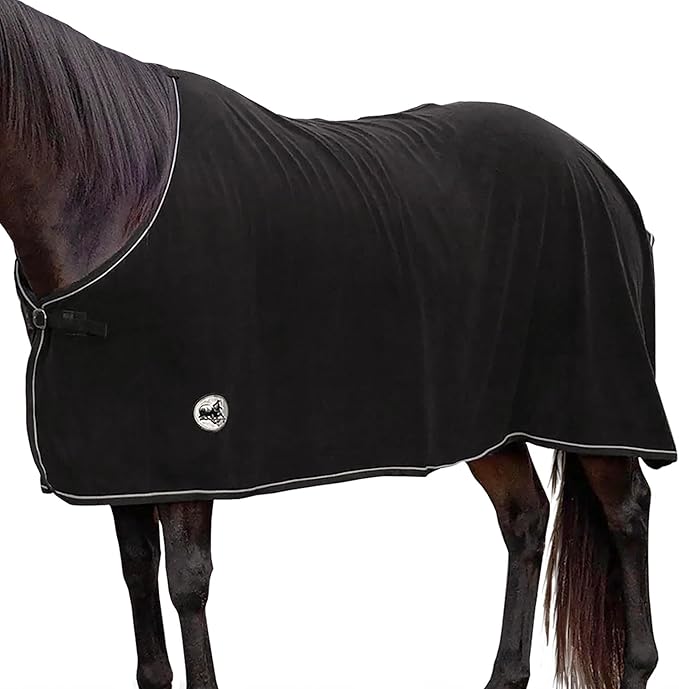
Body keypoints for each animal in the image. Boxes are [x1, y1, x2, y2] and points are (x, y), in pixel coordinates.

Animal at [1, 3, 675, 689]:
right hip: (490, 423)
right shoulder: (121, 460)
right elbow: (137, 569)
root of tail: (600, 174)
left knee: (627, 511)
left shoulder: (195, 446)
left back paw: (636, 667)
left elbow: (187, 583)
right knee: (526, 517)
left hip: (595, 406)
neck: (118, 196)